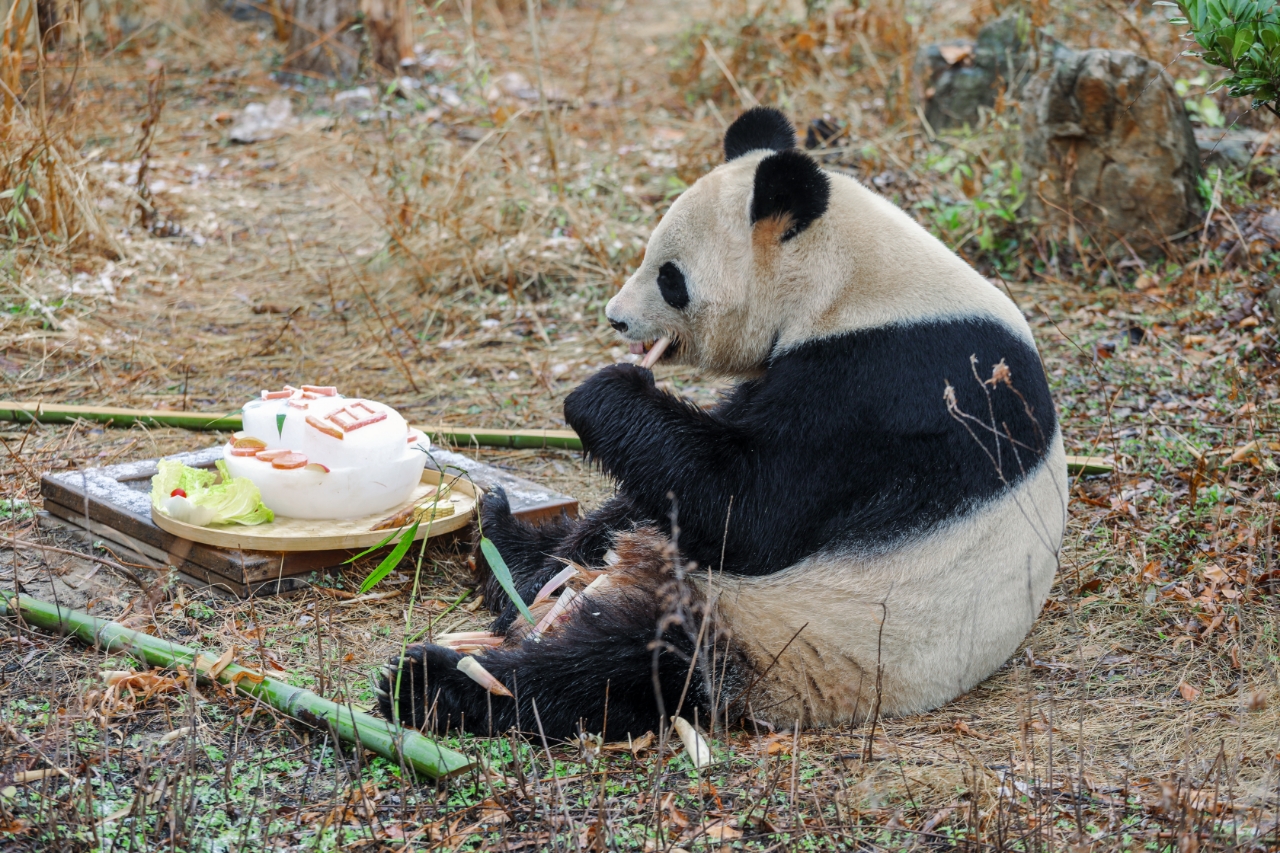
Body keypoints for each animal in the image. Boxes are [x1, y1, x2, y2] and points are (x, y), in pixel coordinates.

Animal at [377, 107, 1067, 740]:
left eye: (671, 278)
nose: (616, 319)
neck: (850, 280)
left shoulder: (889, 384)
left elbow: (752, 508)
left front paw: (604, 389)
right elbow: (690, 476)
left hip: (780, 633)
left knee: (625, 666)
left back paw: (434, 683)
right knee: (611, 536)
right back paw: (509, 546)